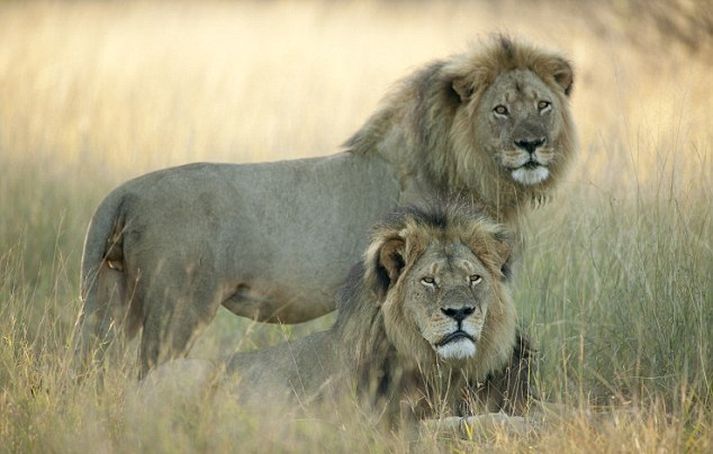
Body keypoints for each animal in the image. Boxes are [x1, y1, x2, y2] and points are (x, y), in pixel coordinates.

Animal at [76, 34, 572, 376]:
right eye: (501, 109)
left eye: (543, 105)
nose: (532, 144)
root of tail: (123, 193)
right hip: (177, 308)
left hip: (110, 298)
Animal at [143, 203, 536, 432]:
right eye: (429, 280)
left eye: (474, 278)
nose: (460, 312)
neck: (441, 368)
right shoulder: (381, 426)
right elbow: (455, 424)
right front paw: (515, 424)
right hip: (185, 374)